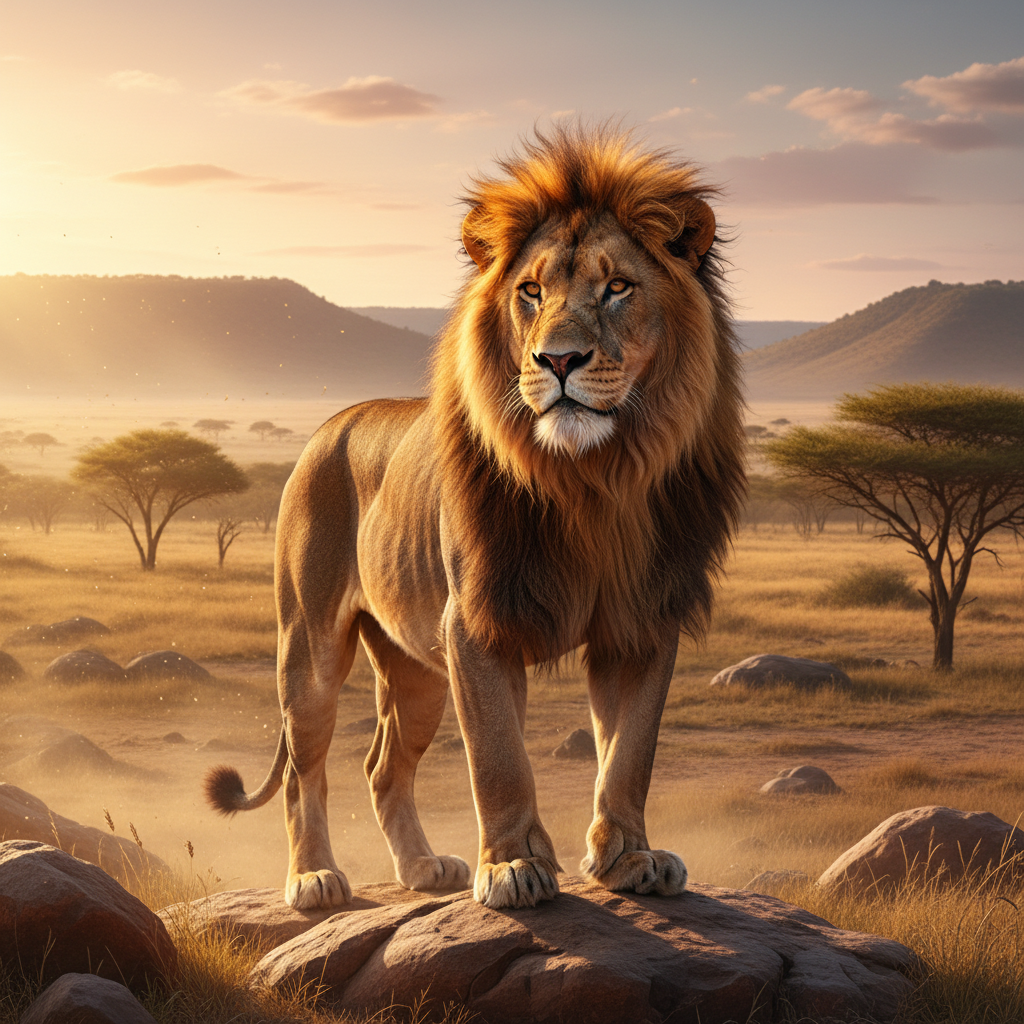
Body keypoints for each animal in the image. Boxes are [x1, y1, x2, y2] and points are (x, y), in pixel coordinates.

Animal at [205, 126, 745, 911]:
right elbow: (498, 757)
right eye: (531, 291)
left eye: (618, 287)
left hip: (415, 667)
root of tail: (329, 424)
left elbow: (629, 754)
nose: (558, 359)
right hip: (308, 645)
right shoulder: (476, 621)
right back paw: (313, 878)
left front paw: (629, 860)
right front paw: (515, 867)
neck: (593, 479)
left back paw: (423, 868)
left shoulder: (642, 621)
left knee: (382, 766)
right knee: (307, 771)